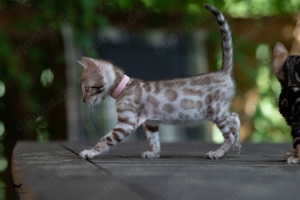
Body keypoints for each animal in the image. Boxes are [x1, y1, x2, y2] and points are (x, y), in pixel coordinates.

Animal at [78, 3, 241, 159]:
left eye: (86, 88)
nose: (84, 100)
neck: (124, 87)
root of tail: (223, 71)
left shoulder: (127, 122)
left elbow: (105, 139)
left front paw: (90, 152)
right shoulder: (150, 122)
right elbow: (154, 140)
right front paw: (154, 154)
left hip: (216, 111)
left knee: (230, 133)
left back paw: (219, 153)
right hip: (220, 111)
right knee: (235, 118)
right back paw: (237, 147)